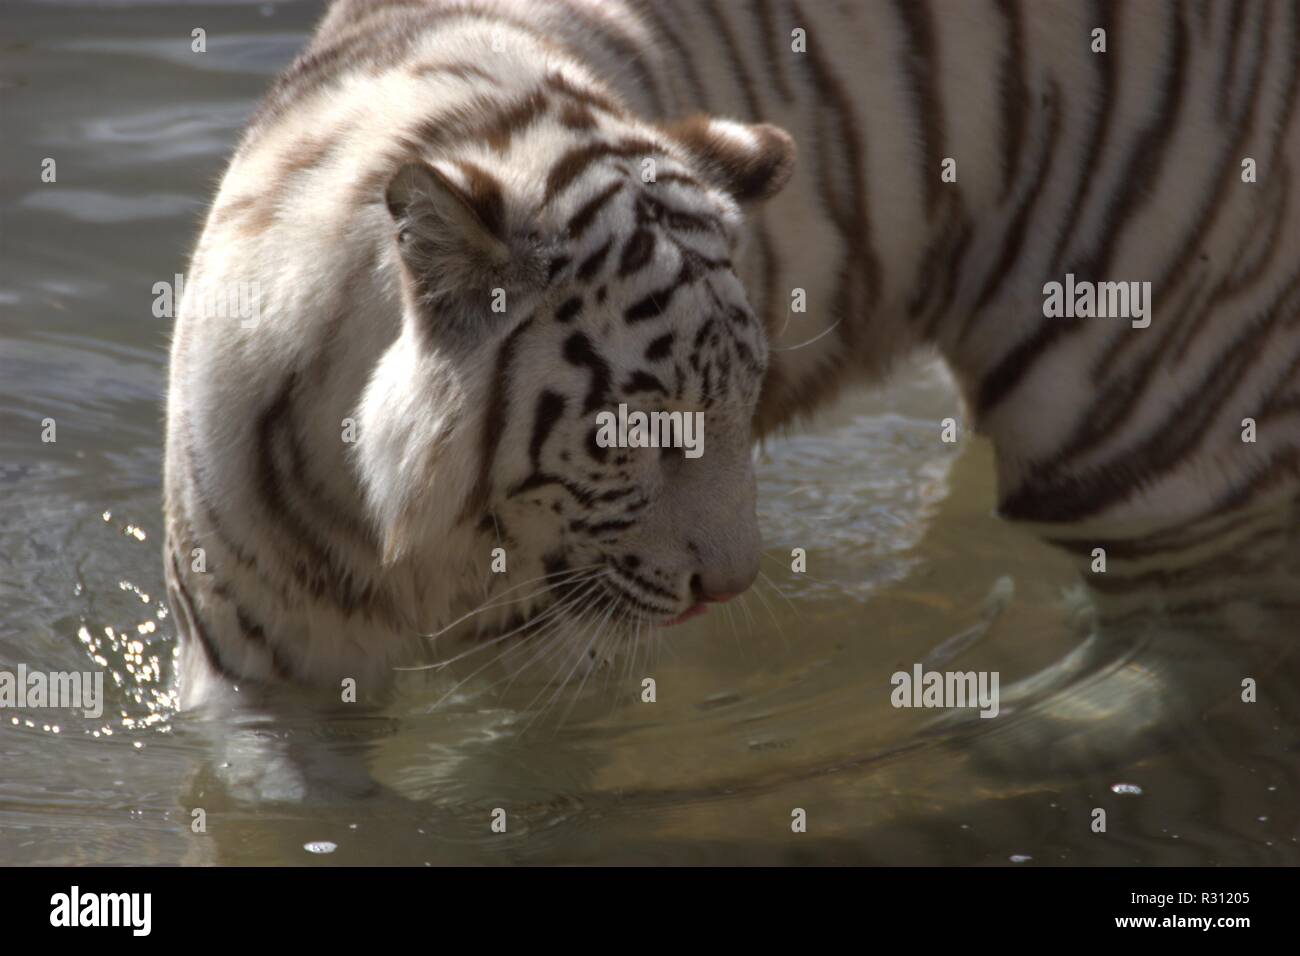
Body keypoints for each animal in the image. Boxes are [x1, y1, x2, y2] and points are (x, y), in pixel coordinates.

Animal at [164, 0, 1300, 705]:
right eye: (637, 428)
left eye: (742, 404)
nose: (729, 587)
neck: (399, 542)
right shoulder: (254, 682)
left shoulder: (554, 660)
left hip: (1137, 398)